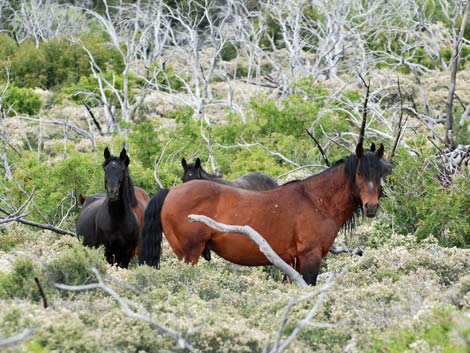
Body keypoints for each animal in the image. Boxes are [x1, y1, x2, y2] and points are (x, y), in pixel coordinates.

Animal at [140, 138, 392, 284]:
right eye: (359, 173)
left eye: (380, 172)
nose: (371, 206)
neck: (316, 200)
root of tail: (171, 191)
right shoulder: (310, 258)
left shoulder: (293, 263)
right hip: (188, 254)